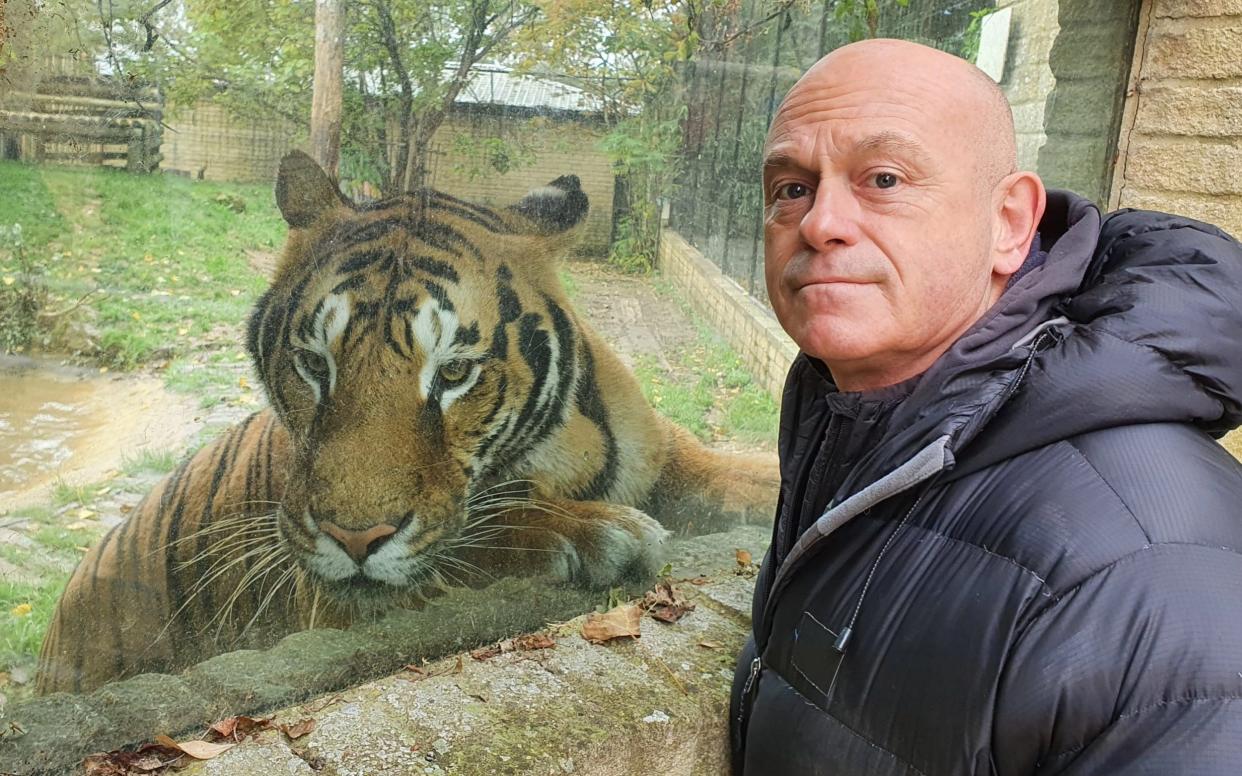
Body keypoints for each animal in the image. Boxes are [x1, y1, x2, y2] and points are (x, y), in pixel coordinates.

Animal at [36, 149, 775, 690]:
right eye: (313, 364)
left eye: (452, 374)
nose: (352, 540)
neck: (557, 453)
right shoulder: (334, 598)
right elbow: (468, 536)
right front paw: (589, 532)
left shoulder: (656, 445)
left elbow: (706, 461)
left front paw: (769, 486)